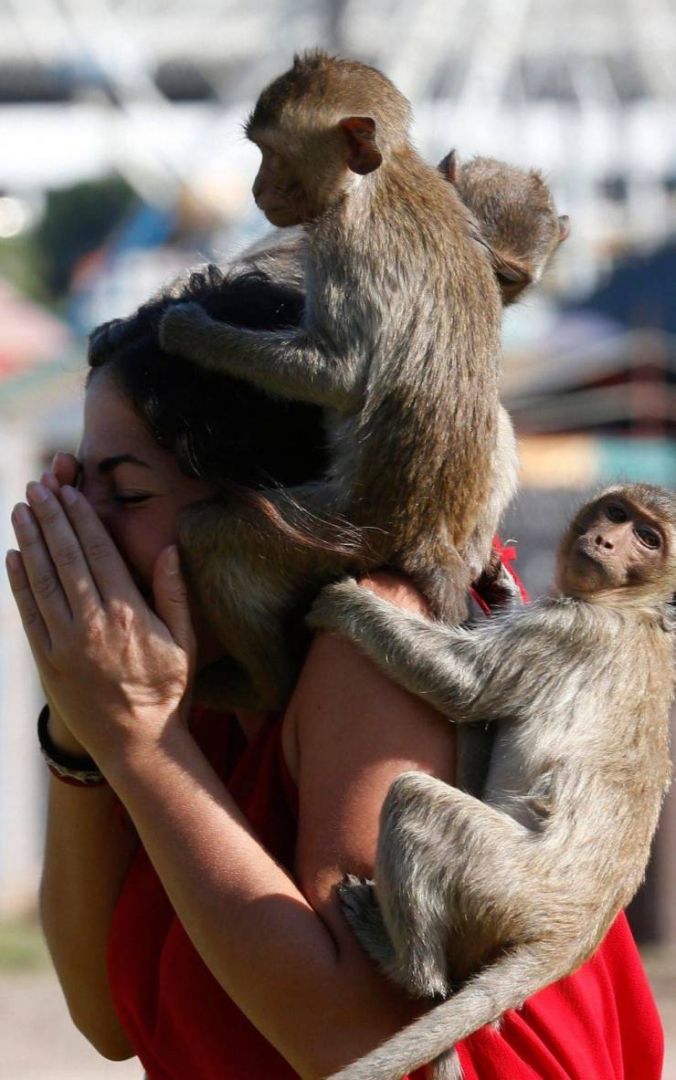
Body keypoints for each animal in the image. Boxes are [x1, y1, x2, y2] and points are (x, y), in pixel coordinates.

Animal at [306, 483, 673, 1080]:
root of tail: (578, 931)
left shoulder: (566, 630)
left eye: (646, 537)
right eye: (617, 514)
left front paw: (342, 602)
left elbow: (466, 687)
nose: (606, 540)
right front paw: (500, 592)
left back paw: (410, 970)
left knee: (413, 801)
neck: (634, 608)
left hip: (507, 881)